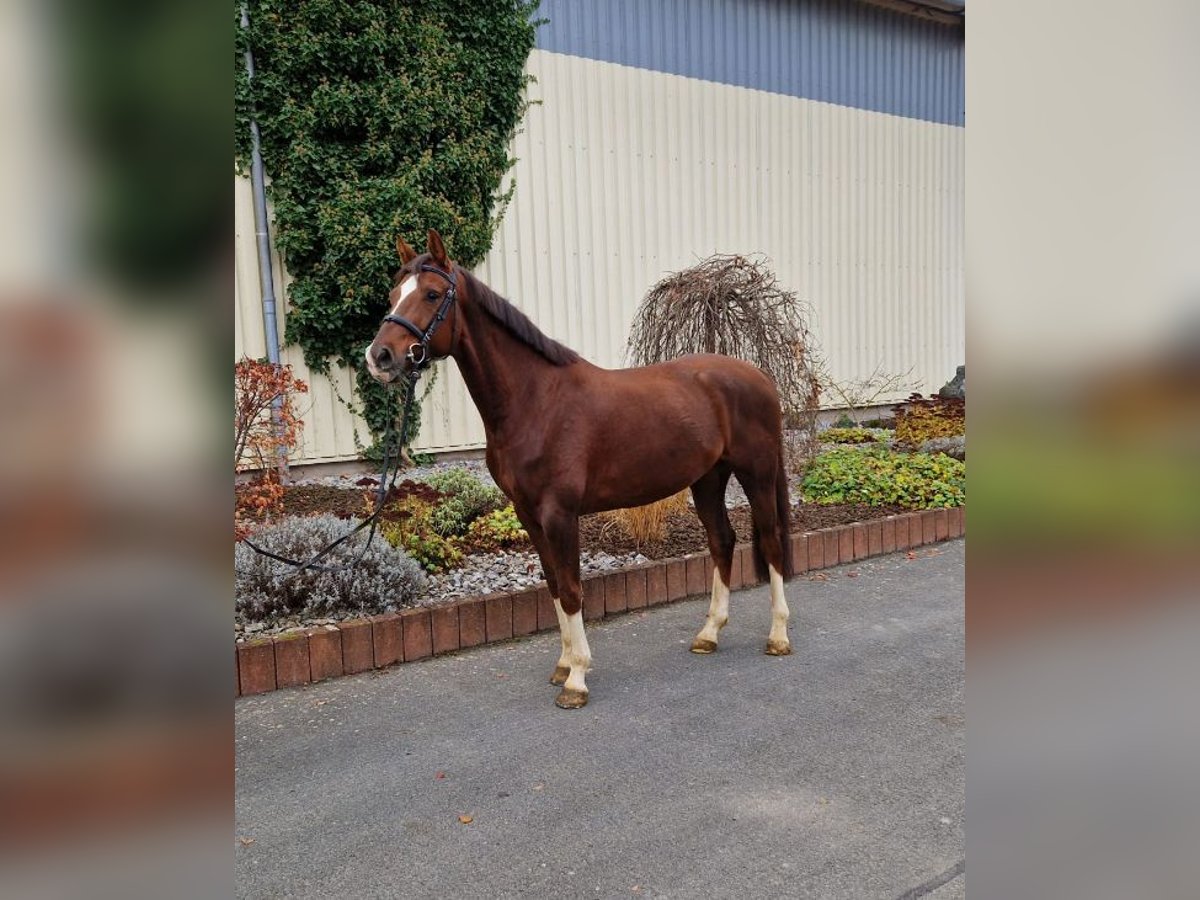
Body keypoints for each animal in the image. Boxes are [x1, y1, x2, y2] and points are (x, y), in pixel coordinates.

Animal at [364, 229, 796, 710]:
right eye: (393, 294)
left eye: (432, 294)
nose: (380, 356)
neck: (536, 401)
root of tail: (759, 377)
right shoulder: (529, 515)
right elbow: (554, 584)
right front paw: (563, 664)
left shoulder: (559, 515)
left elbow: (572, 590)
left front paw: (576, 679)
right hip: (707, 479)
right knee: (722, 542)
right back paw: (709, 634)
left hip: (757, 474)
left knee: (772, 543)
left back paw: (778, 637)